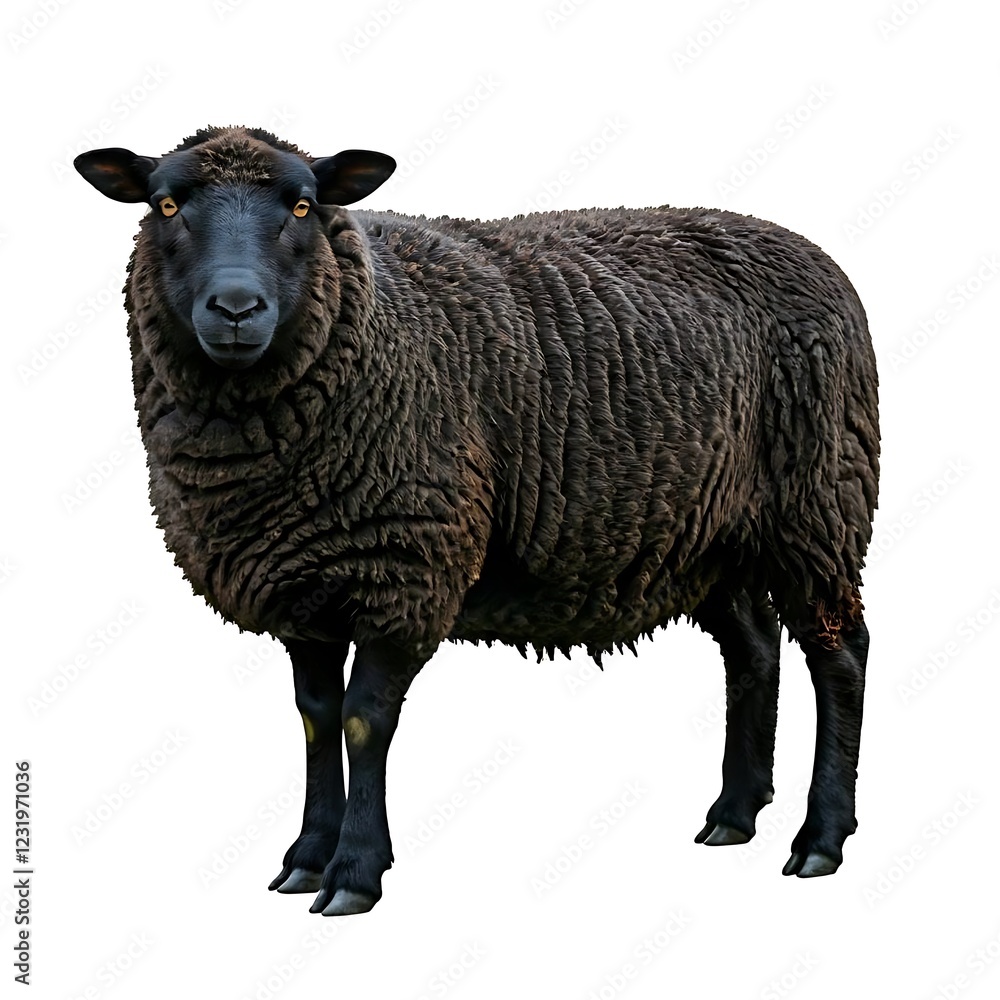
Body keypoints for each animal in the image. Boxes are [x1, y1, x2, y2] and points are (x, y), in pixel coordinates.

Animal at [74, 125, 879, 916]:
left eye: (303, 204)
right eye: (166, 203)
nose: (237, 309)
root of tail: (811, 252)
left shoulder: (405, 569)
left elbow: (364, 720)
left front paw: (354, 873)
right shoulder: (303, 583)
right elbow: (315, 717)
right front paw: (306, 859)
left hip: (819, 505)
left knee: (839, 656)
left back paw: (820, 839)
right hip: (714, 534)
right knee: (754, 651)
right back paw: (733, 815)